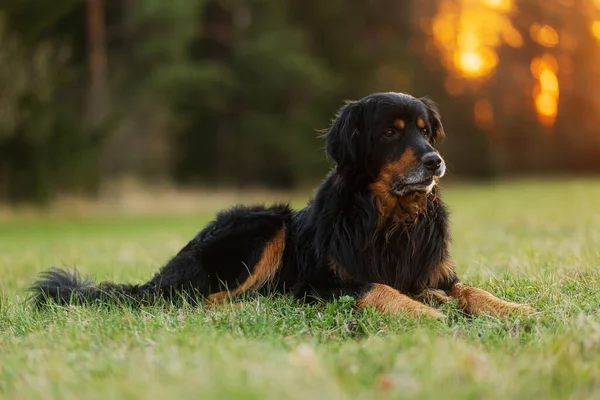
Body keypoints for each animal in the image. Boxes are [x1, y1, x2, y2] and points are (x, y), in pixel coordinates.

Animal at [29, 92, 536, 320]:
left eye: (425, 131)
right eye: (390, 132)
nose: (435, 161)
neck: (390, 218)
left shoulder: (436, 271)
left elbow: (470, 289)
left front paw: (516, 309)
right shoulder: (322, 281)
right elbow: (376, 286)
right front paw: (431, 314)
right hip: (262, 223)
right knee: (199, 301)